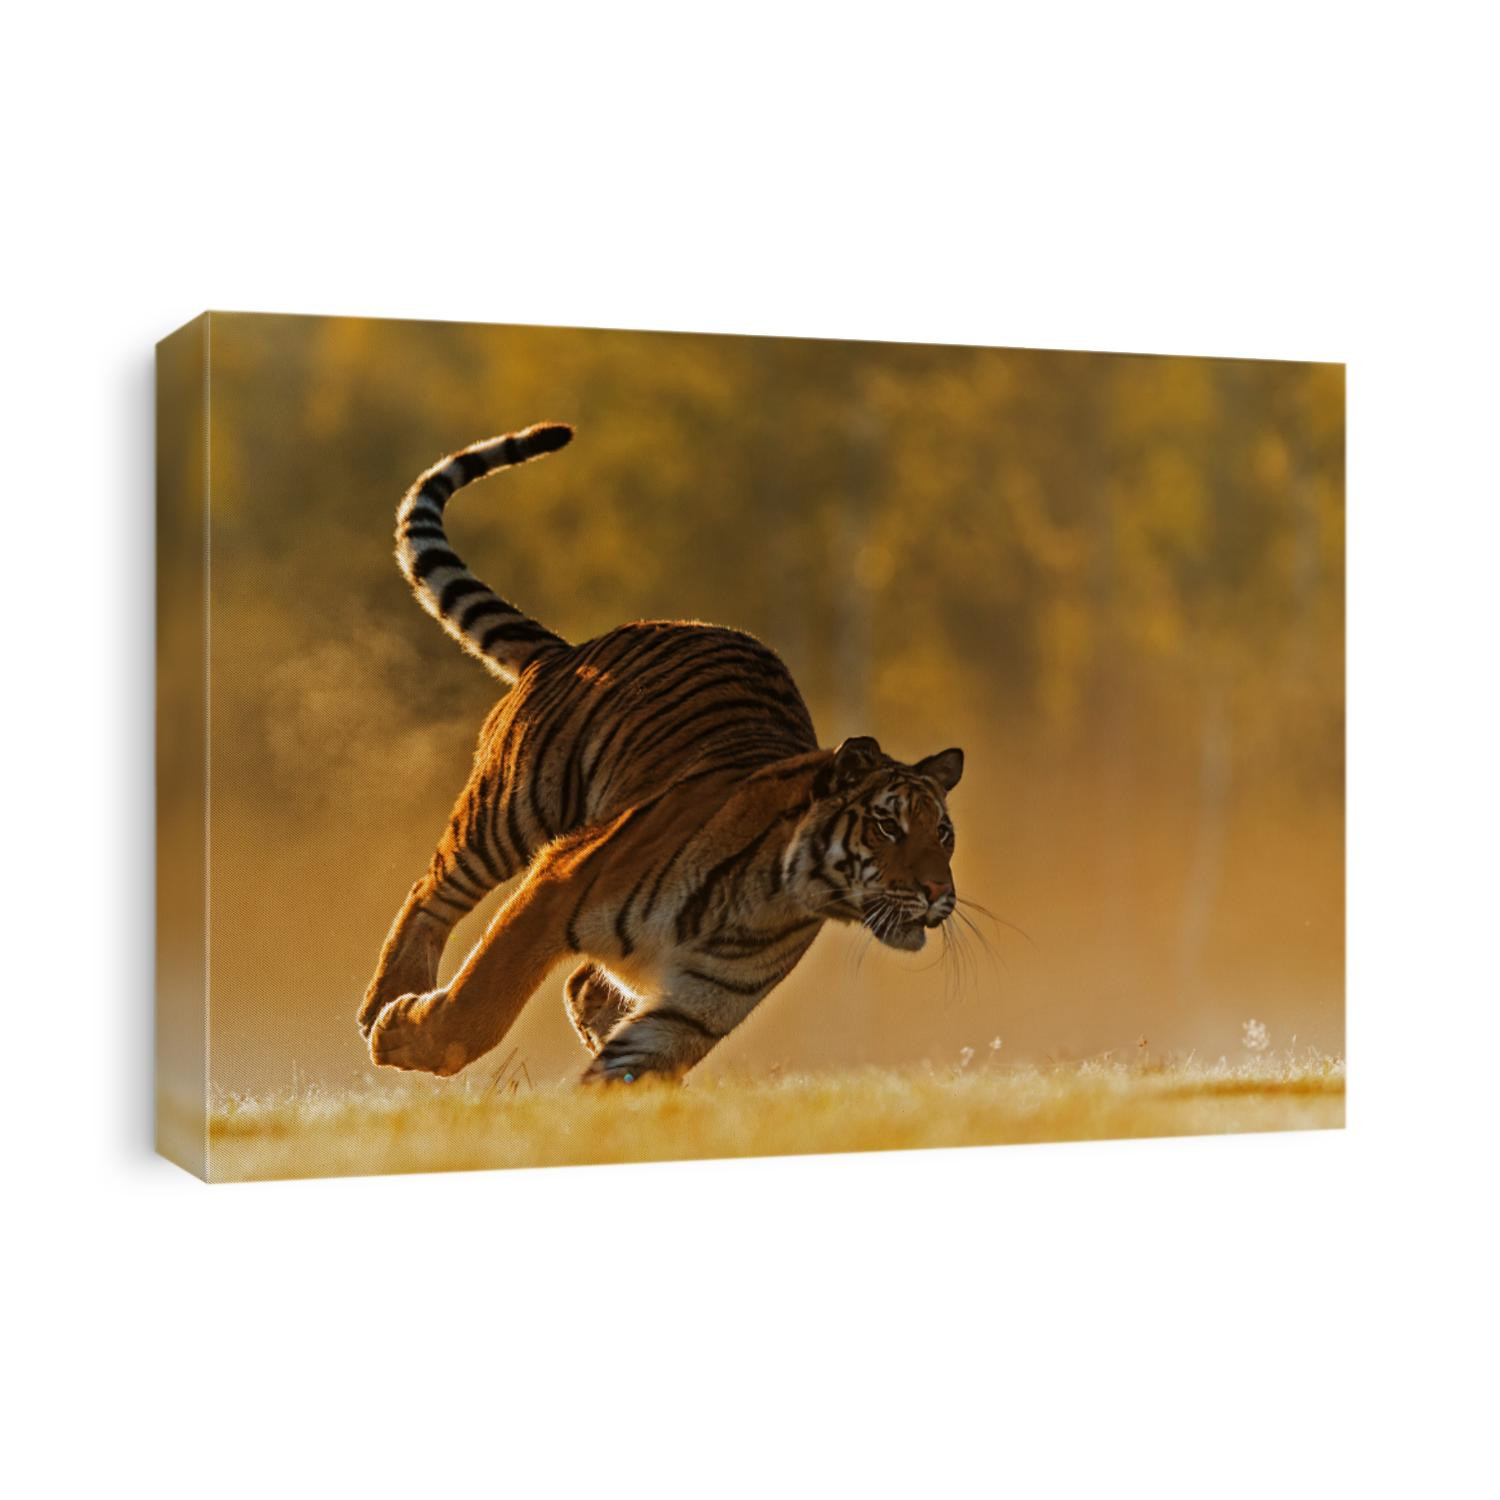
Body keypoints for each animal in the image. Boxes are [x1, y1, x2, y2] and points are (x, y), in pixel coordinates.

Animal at [357, 422, 964, 1084]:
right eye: (887, 826)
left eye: (944, 834)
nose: (939, 893)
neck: (773, 897)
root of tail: (571, 649)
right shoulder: (557, 882)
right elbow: (482, 1007)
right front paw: (400, 1032)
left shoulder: (696, 1006)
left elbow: (626, 1067)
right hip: (508, 810)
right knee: (430, 890)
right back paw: (385, 999)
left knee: (580, 983)